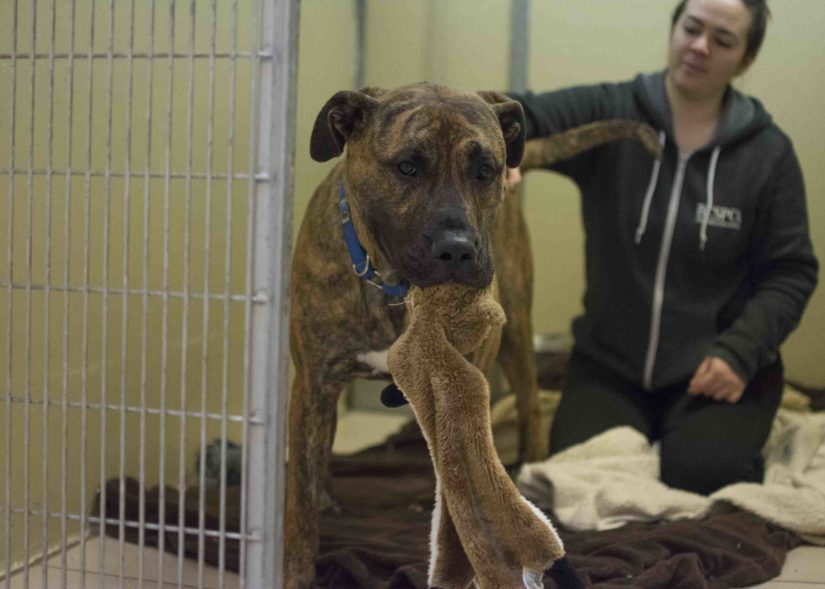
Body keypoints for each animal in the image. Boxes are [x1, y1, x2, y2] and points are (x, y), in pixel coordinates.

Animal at [286, 84, 660, 588]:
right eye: (408, 166)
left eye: (485, 170)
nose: (458, 249)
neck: (392, 287)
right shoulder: (313, 383)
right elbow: (301, 500)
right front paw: (297, 564)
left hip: (516, 334)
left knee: (528, 407)